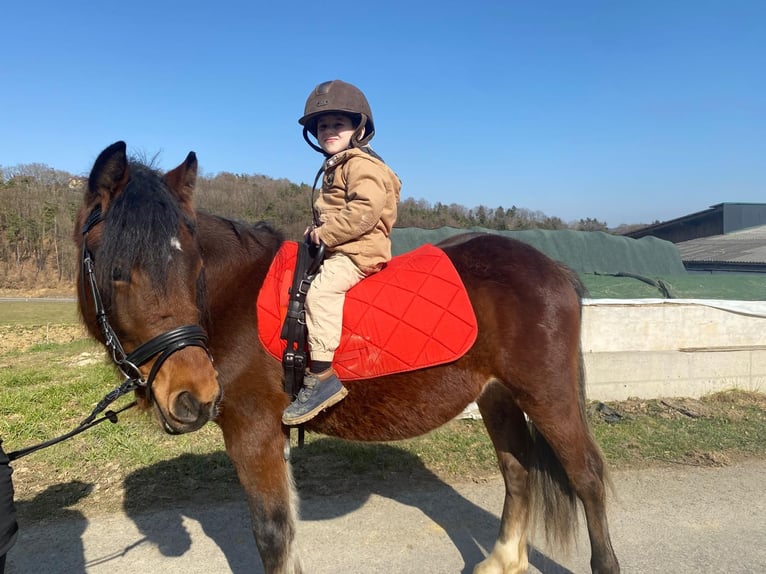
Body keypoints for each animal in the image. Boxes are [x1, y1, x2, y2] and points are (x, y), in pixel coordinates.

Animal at [74, 141, 619, 574]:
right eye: (116, 270)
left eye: (194, 267)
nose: (195, 396)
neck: (235, 296)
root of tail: (552, 267)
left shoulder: (253, 432)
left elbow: (272, 533)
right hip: (498, 397)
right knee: (517, 470)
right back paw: (502, 561)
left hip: (547, 396)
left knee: (587, 478)